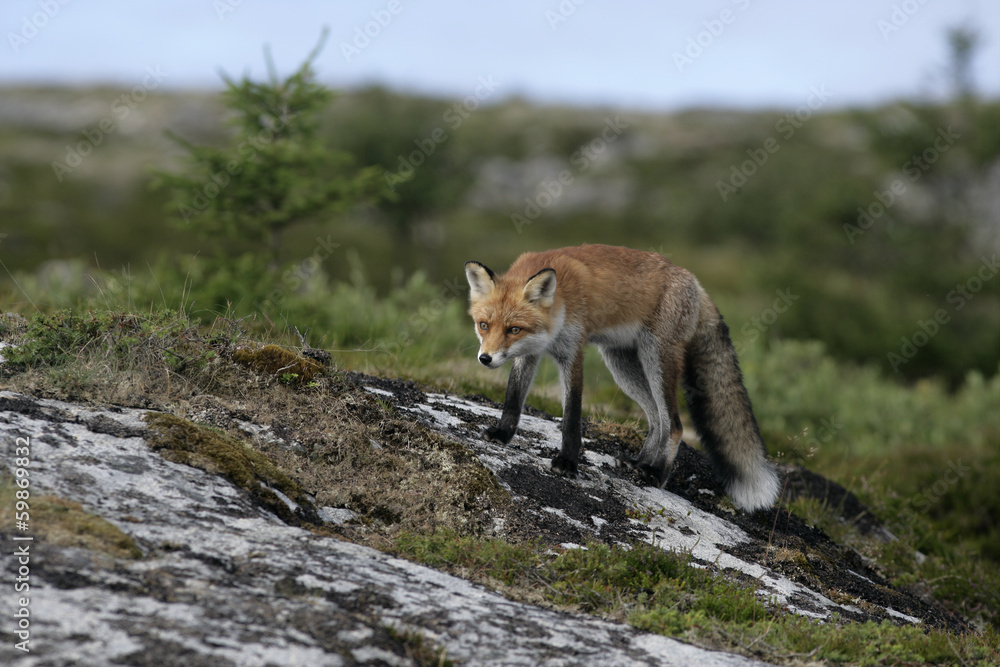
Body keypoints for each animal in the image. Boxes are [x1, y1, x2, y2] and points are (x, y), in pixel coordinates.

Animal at [465, 244, 780, 512]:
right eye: (484, 325)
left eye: (514, 329)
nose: (485, 358)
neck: (560, 302)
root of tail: (693, 280)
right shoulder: (529, 354)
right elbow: (513, 399)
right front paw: (502, 434)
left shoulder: (573, 352)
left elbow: (572, 418)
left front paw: (568, 463)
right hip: (621, 364)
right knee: (657, 420)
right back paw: (638, 462)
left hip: (656, 359)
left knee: (675, 425)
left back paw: (655, 474)